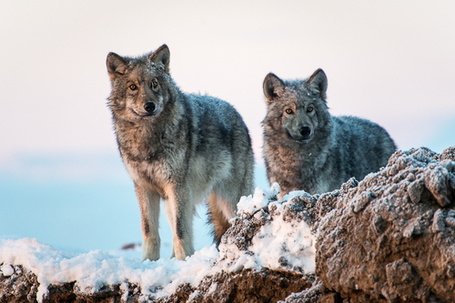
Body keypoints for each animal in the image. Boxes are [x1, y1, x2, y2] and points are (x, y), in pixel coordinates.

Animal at [108, 44, 256, 262]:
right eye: (133, 87)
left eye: (154, 84)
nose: (149, 106)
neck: (148, 136)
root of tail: (236, 113)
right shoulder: (144, 187)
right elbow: (149, 230)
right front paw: (149, 262)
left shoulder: (177, 185)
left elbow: (181, 231)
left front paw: (183, 261)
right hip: (174, 200)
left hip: (229, 199)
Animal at [262, 68, 398, 200]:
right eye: (289, 111)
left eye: (310, 109)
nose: (305, 130)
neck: (298, 161)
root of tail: (384, 132)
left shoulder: (320, 193)